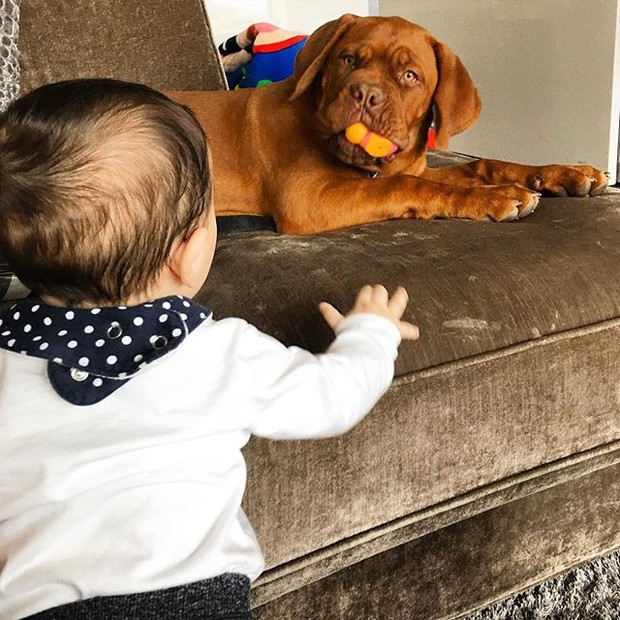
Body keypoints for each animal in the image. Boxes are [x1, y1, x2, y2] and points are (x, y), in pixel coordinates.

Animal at [170, 17, 604, 236]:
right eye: (347, 59)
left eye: (410, 76)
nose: (364, 95)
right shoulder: (305, 198)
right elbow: (407, 186)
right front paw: (495, 198)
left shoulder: (418, 165)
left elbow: (481, 165)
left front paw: (568, 174)